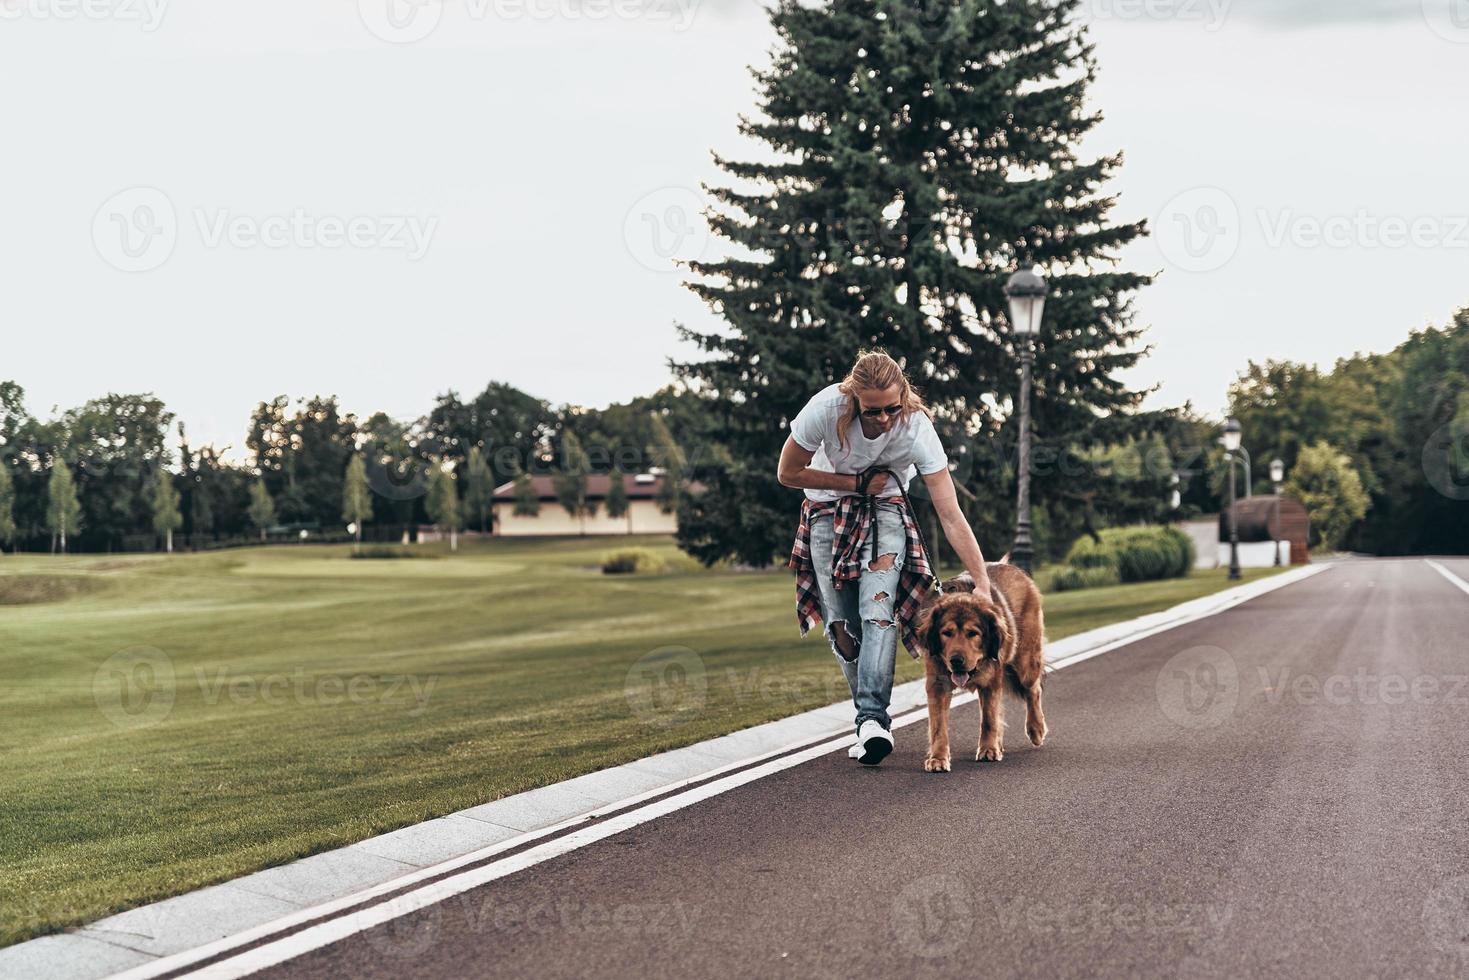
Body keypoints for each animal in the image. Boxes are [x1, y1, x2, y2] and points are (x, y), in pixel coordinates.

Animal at [916, 564, 1045, 769]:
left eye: (973, 633)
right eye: (946, 633)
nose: (956, 660)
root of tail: (1013, 567)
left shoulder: (990, 683)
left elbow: (989, 720)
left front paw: (988, 749)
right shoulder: (937, 685)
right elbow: (938, 726)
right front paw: (938, 758)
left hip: (1026, 663)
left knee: (1034, 690)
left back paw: (1036, 729)